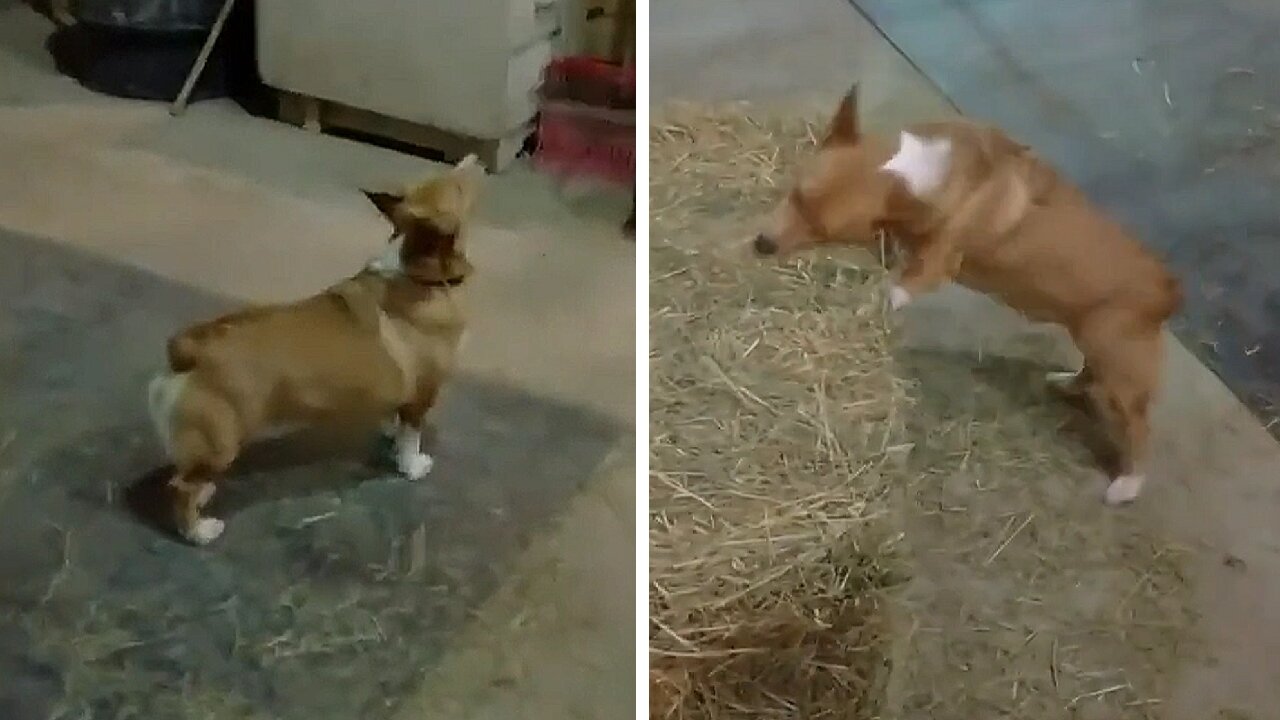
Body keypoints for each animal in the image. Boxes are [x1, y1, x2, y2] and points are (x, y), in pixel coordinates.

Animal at [146, 154, 483, 540]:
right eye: (458, 186)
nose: (474, 159)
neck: (417, 275)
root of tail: (188, 349)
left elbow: (397, 421)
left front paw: (390, 434)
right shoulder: (425, 391)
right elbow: (411, 437)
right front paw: (411, 466)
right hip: (222, 445)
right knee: (181, 487)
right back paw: (199, 531)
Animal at [752, 87, 1182, 504]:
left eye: (823, 229)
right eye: (795, 194)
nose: (761, 244)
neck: (917, 173)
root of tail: (1169, 290)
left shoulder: (929, 271)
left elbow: (893, 290)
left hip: (1120, 374)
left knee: (1139, 430)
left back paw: (1127, 485)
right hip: (1096, 346)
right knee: (1091, 375)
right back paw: (1067, 383)